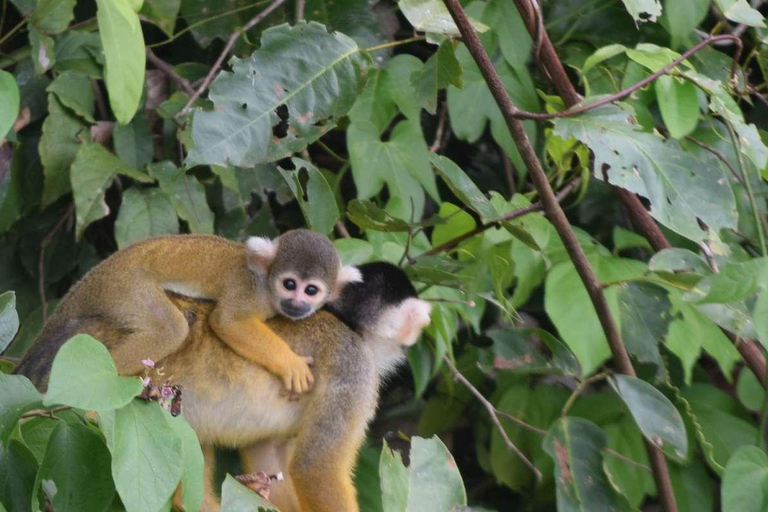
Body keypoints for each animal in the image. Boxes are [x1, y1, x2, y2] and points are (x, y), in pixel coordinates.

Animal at [15, 230, 364, 394]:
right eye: (289, 284)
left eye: (311, 290)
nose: (297, 304)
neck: (265, 283)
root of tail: (96, 276)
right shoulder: (247, 291)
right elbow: (228, 322)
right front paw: (290, 364)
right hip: (124, 287)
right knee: (170, 329)